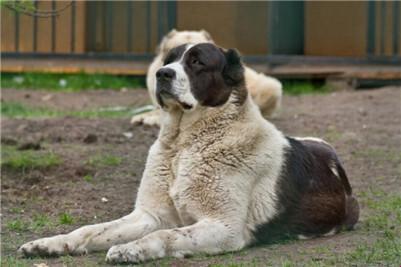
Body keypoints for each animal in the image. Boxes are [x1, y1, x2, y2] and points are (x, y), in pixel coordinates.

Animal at [18, 43, 358, 264]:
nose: (162, 74)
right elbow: (91, 230)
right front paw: (50, 243)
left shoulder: (223, 227)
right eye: (168, 60)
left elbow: (166, 236)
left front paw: (131, 249)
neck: (183, 147)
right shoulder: (149, 215)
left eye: (196, 62)